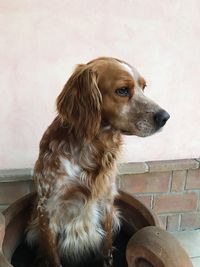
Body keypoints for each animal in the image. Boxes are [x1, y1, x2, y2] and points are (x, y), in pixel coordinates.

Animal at [25, 57, 170, 267]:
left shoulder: (107, 202)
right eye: (122, 90)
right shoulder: (47, 209)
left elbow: (107, 248)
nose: (165, 117)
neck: (91, 147)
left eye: (143, 87)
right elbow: (52, 256)